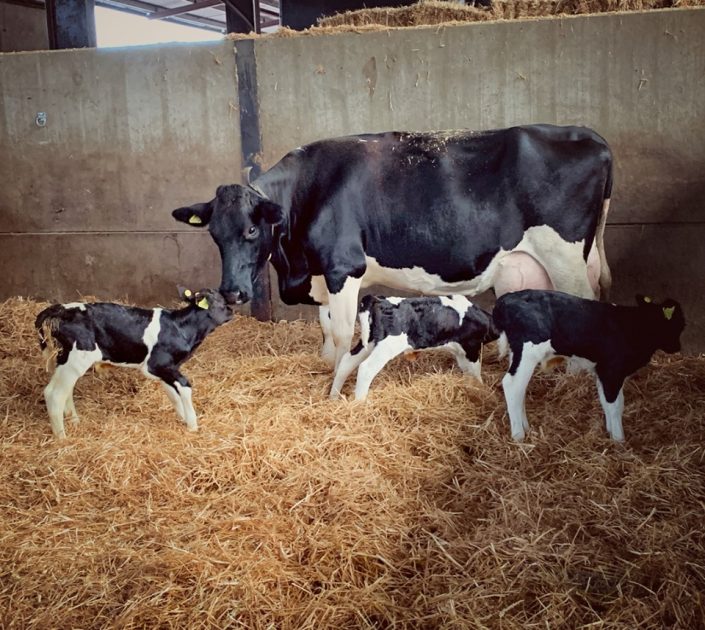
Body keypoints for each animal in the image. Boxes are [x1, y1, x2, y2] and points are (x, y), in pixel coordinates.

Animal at [35, 288, 232, 438]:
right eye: (221, 302)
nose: (231, 310)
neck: (182, 328)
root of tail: (59, 309)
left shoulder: (167, 368)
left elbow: (172, 394)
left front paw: (183, 419)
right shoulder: (156, 365)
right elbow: (184, 387)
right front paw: (192, 425)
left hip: (65, 360)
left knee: (66, 390)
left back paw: (75, 421)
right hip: (77, 358)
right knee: (54, 394)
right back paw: (62, 438)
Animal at [172, 124, 613, 370]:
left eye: (251, 229)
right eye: (214, 234)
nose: (232, 292)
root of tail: (589, 135)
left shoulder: (343, 268)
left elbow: (340, 332)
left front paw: (334, 377)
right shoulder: (323, 274)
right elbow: (326, 327)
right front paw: (323, 366)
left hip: (567, 259)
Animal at [330, 294, 497, 400]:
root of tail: (382, 301)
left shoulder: (461, 352)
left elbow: (468, 372)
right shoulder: (472, 348)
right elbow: (475, 372)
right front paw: (481, 390)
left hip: (369, 343)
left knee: (346, 362)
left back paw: (333, 397)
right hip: (386, 347)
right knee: (366, 369)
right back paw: (360, 403)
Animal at [492, 290, 685, 442]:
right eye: (679, 325)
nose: (677, 347)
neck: (633, 327)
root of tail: (507, 298)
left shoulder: (603, 371)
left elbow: (610, 402)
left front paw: (610, 432)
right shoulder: (612, 372)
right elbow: (615, 406)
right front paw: (619, 440)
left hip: (517, 354)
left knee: (519, 389)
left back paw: (525, 426)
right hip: (528, 352)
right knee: (512, 385)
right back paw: (518, 436)